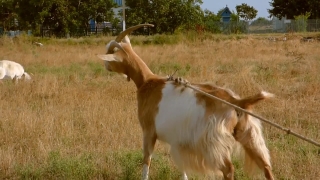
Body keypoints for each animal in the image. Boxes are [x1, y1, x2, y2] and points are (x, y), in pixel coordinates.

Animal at [96, 24, 274, 180]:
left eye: (110, 54)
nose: (105, 65)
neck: (147, 82)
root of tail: (237, 101)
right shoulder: (179, 142)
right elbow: (183, 169)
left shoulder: (149, 131)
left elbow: (146, 161)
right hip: (250, 135)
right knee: (266, 167)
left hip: (212, 142)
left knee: (228, 169)